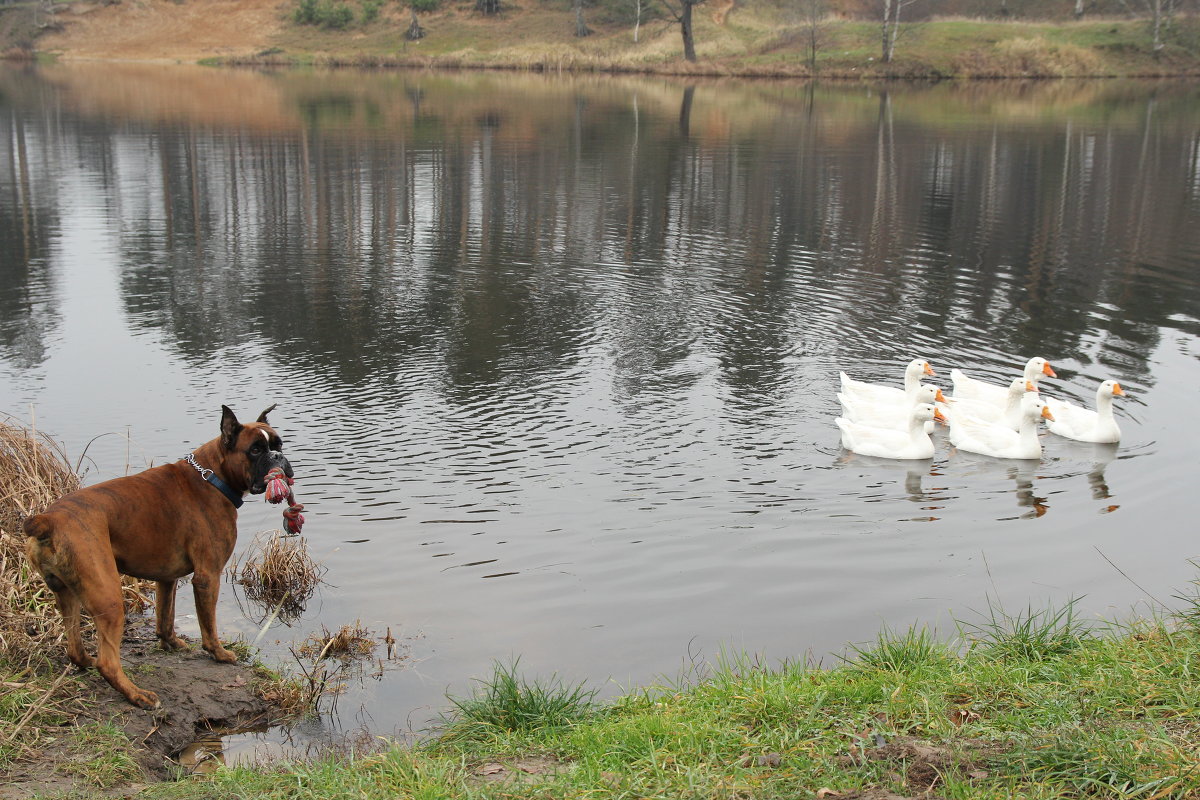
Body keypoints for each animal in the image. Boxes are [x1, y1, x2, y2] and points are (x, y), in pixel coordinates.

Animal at [24, 407, 291, 705]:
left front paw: (171, 643)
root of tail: (48, 520)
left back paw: (87, 662)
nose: (278, 456)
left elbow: (165, 617)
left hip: (66, 593)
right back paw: (138, 695)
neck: (212, 476)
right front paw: (219, 654)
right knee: (108, 662)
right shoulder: (207, 576)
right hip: (109, 598)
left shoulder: (166, 578)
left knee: (74, 647)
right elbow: (208, 624)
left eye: (278, 445)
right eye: (255, 450)